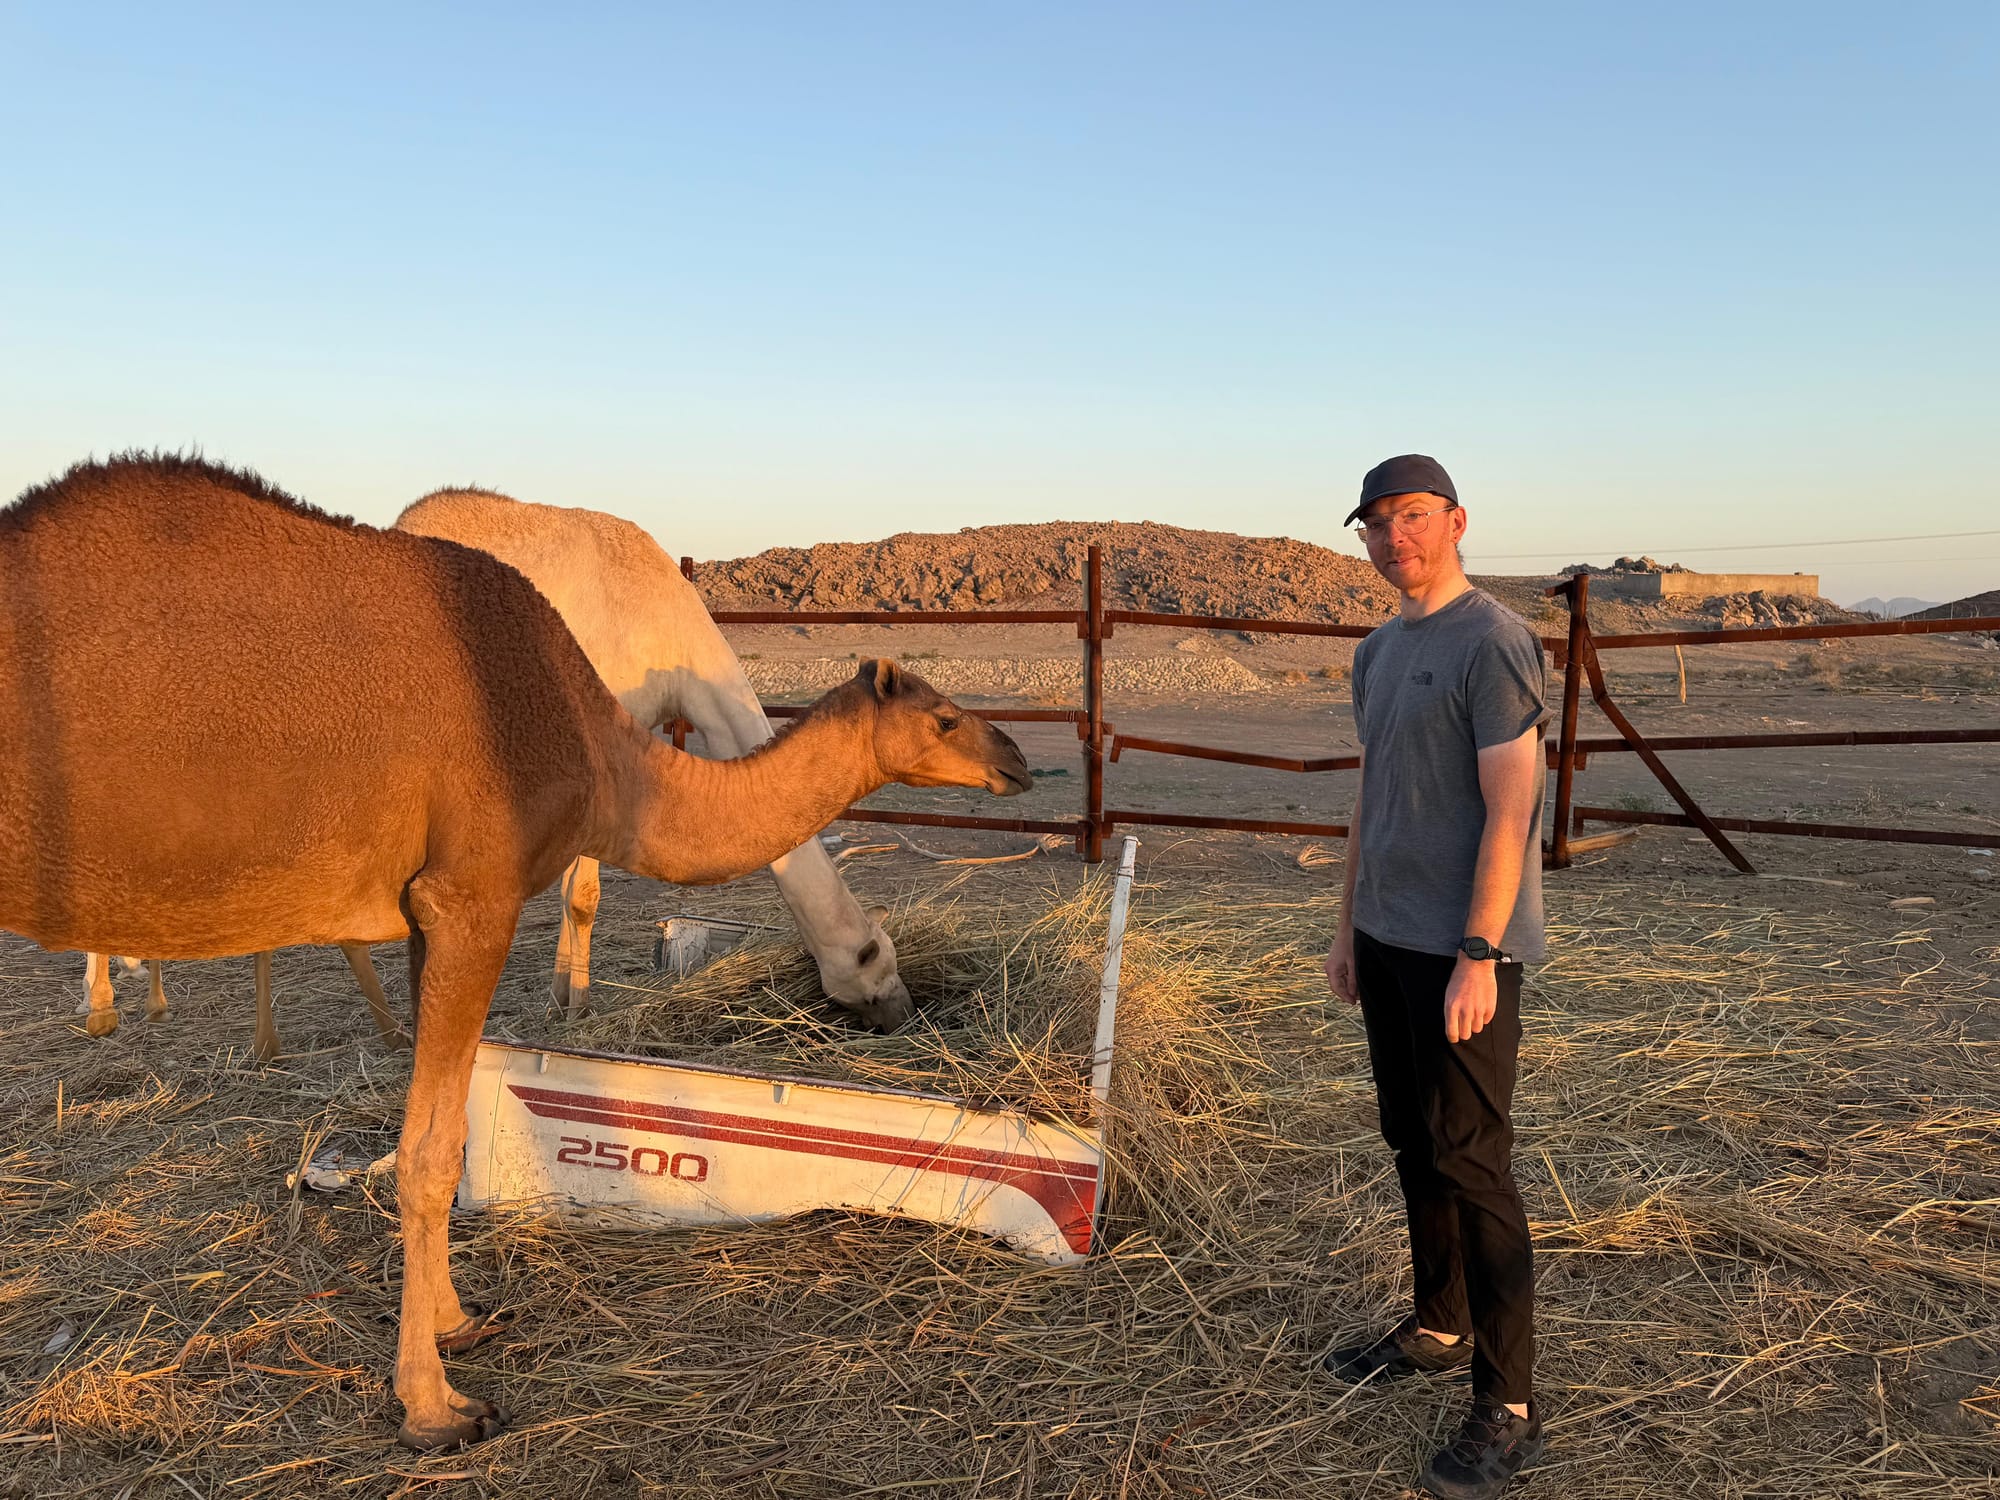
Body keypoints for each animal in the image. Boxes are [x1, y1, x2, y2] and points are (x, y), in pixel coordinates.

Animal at [81, 489, 915, 1054]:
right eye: (875, 953)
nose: (902, 1008)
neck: (667, 633)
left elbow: (583, 894)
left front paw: (565, 997)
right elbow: (580, 892)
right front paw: (572, 999)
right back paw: (127, 1010)